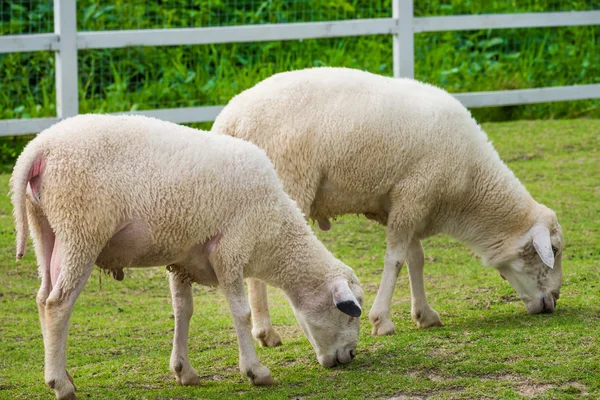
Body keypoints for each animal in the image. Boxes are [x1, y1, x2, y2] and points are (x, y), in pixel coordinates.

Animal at [11, 113, 364, 400]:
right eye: (348, 313)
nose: (350, 356)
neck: (274, 232)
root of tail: (37, 149)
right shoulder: (230, 249)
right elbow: (241, 313)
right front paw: (256, 371)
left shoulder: (182, 259)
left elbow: (183, 311)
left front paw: (184, 371)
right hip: (80, 229)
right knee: (58, 304)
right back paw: (60, 384)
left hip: (46, 230)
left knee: (42, 299)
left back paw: (60, 373)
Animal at [211, 66, 564, 338]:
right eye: (554, 250)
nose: (555, 300)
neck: (468, 188)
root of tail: (229, 120)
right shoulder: (414, 193)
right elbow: (394, 259)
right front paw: (382, 320)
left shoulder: (404, 203)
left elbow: (415, 258)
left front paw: (424, 314)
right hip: (287, 182)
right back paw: (266, 331)